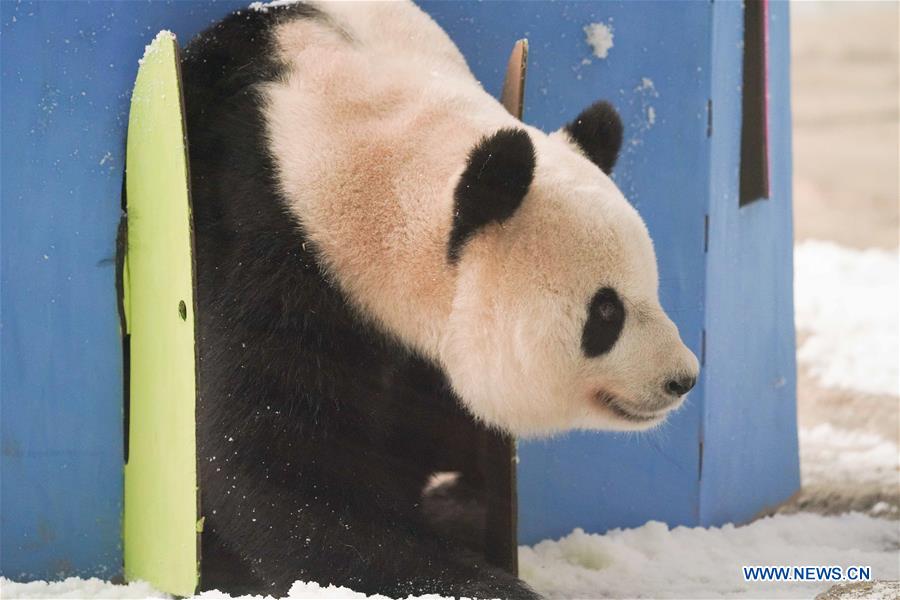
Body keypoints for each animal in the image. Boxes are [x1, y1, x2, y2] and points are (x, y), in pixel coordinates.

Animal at [181, 1, 699, 598]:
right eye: (606, 312)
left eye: (651, 287)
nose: (682, 378)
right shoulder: (272, 243)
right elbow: (283, 463)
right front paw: (472, 579)